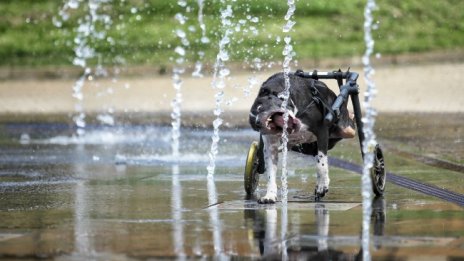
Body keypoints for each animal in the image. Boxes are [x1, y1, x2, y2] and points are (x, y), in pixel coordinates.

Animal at [250, 71, 356, 203]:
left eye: (260, 109)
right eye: (253, 121)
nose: (257, 123)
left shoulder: (322, 132)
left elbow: (321, 164)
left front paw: (322, 186)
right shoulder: (270, 146)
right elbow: (270, 173)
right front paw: (269, 195)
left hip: (346, 129)